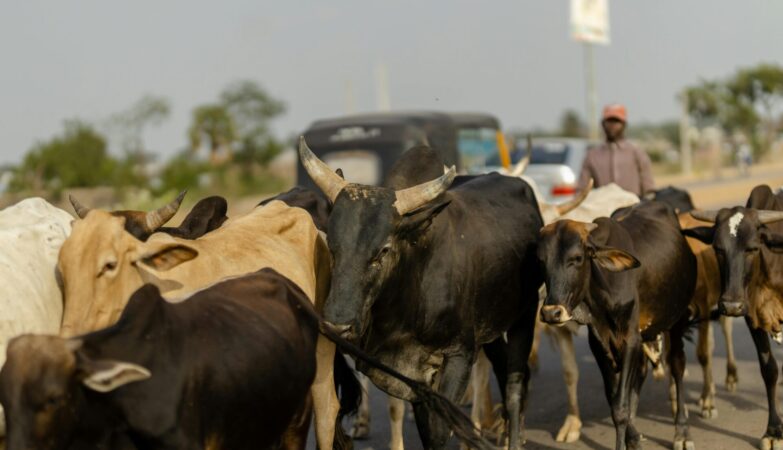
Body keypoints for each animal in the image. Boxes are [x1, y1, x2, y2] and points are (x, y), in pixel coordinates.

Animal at [298, 138, 544, 450]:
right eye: (331, 243)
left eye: (384, 249)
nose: (337, 325)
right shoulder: (414, 376)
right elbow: (426, 428)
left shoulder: (460, 355)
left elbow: (439, 429)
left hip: (525, 315)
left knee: (513, 384)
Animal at [540, 201, 700, 450]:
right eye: (541, 261)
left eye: (577, 258)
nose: (551, 312)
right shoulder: (599, 344)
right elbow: (614, 399)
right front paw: (632, 438)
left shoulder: (630, 339)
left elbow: (620, 407)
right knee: (642, 372)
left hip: (677, 319)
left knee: (677, 366)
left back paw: (682, 432)